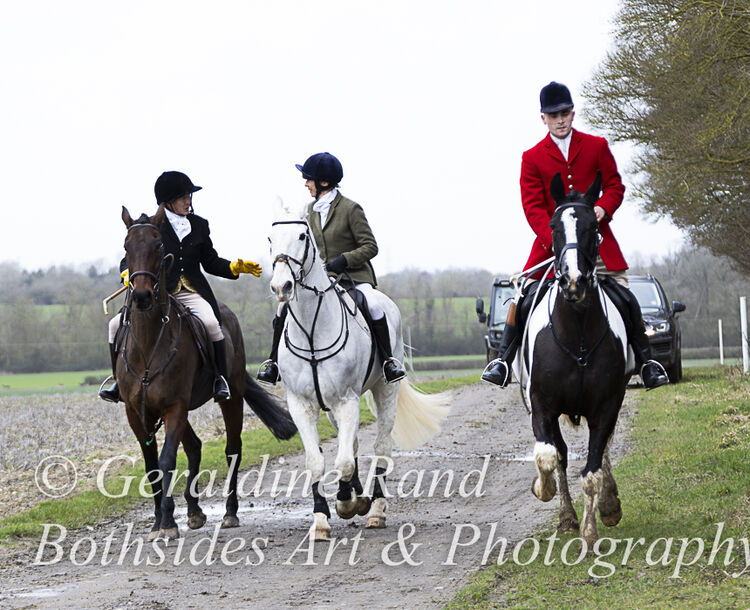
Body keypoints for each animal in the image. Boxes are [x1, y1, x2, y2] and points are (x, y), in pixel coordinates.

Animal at [118, 205, 297, 539]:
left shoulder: (175, 407)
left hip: (231, 397)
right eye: (126, 248)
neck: (149, 344)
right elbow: (152, 465)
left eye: (158, 246)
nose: (142, 297)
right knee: (195, 447)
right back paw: (194, 511)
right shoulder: (137, 413)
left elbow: (167, 459)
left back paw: (229, 513)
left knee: (232, 449)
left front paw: (168, 521)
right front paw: (159, 521)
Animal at [268, 201, 449, 540]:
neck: (312, 330)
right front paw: (322, 520)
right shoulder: (302, 404)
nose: (281, 286)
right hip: (330, 407)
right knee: (350, 443)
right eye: (270, 239)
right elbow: (318, 461)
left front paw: (346, 503)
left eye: (302, 236)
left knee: (381, 447)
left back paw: (375, 509)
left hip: (385, 388)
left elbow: (342, 462)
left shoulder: (347, 400)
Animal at [515, 172, 631, 545]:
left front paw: (591, 531)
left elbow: (593, 469)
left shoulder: (607, 404)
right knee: (561, 454)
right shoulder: (542, 404)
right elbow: (549, 456)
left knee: (604, 449)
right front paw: (546, 492)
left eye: (593, 225)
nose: (574, 281)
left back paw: (609, 505)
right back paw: (565, 515)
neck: (577, 332)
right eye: (553, 226)